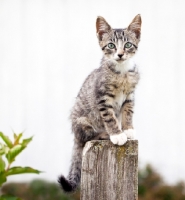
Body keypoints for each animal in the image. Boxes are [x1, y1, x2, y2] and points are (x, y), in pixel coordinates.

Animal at [58, 14, 141, 192]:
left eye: (128, 45)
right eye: (111, 45)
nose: (120, 54)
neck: (122, 72)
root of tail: (75, 133)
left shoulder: (130, 95)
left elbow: (128, 112)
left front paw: (128, 129)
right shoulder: (102, 97)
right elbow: (110, 117)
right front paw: (117, 134)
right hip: (82, 121)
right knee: (87, 136)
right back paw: (104, 134)